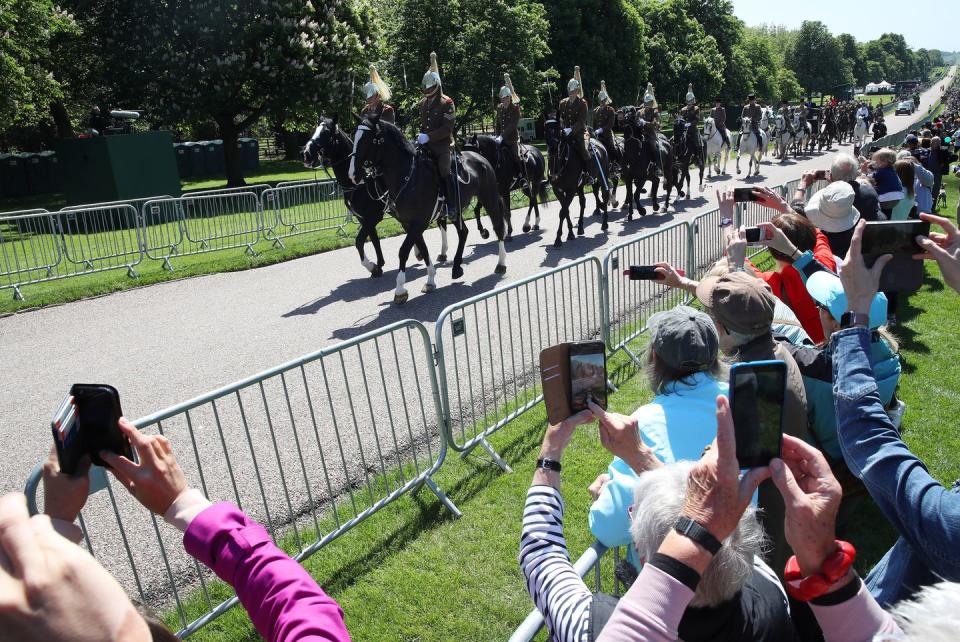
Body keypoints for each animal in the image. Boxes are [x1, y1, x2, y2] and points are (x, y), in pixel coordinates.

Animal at [304, 116, 386, 276]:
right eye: (314, 130)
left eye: (326, 132)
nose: (307, 153)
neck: (359, 182)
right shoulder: (363, 219)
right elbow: (374, 240)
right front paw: (378, 266)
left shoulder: (373, 217)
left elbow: (359, 242)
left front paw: (371, 265)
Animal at [348, 115, 506, 304]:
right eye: (355, 137)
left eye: (370, 139)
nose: (353, 175)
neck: (407, 176)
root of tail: (480, 157)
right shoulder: (409, 224)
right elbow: (423, 249)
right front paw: (430, 280)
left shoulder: (418, 222)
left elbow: (403, 251)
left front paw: (400, 289)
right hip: (456, 211)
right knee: (463, 232)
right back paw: (456, 267)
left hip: (489, 199)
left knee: (498, 227)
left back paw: (500, 264)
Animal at [544, 116, 612, 246]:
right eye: (545, 128)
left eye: (559, 129)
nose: (553, 149)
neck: (562, 161)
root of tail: (600, 144)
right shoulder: (558, 190)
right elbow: (565, 210)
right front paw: (570, 233)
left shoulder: (570, 190)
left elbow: (563, 212)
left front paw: (558, 238)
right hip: (580, 186)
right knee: (582, 202)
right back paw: (580, 227)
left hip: (603, 176)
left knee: (605, 195)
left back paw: (605, 223)